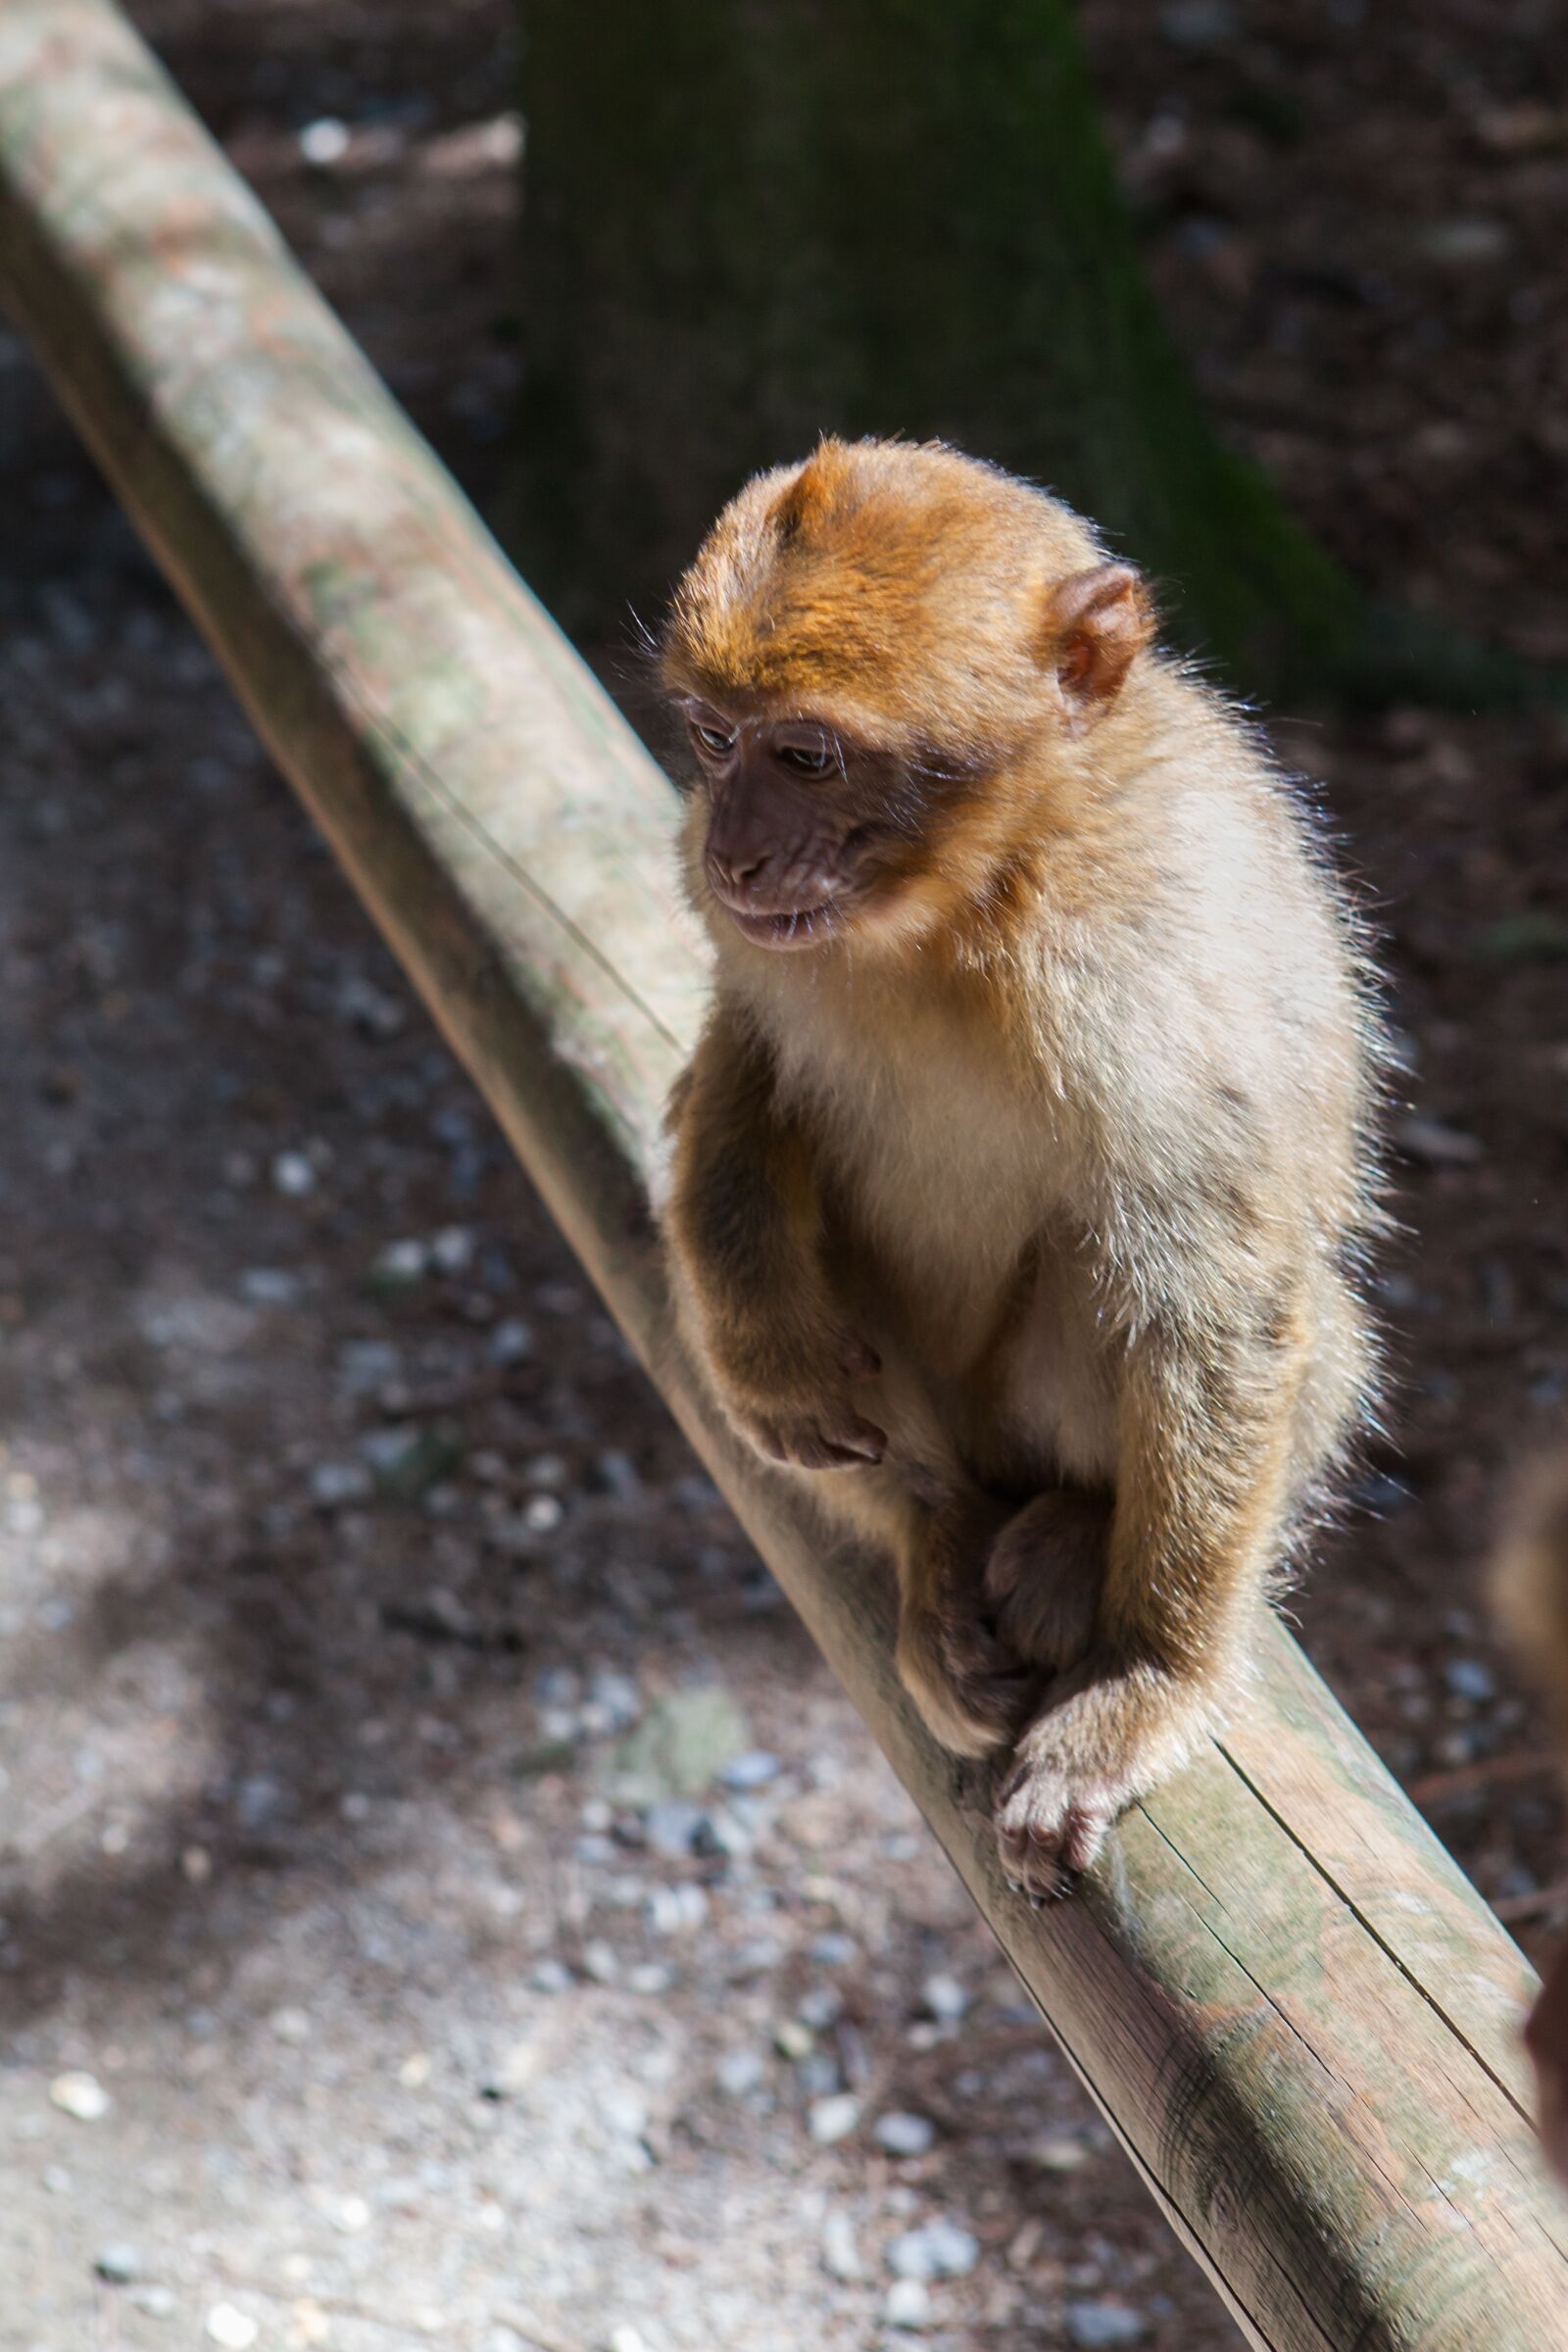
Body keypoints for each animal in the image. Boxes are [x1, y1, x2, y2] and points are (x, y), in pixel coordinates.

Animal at [656, 437, 1384, 1896]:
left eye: (806, 755)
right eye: (712, 738)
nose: (730, 845)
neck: (968, 902)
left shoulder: (1150, 957)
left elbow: (1214, 1297)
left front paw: (1151, 1679)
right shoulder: (757, 938)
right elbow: (748, 1055)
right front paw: (769, 1347)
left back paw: (1071, 1537)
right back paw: (931, 1533)